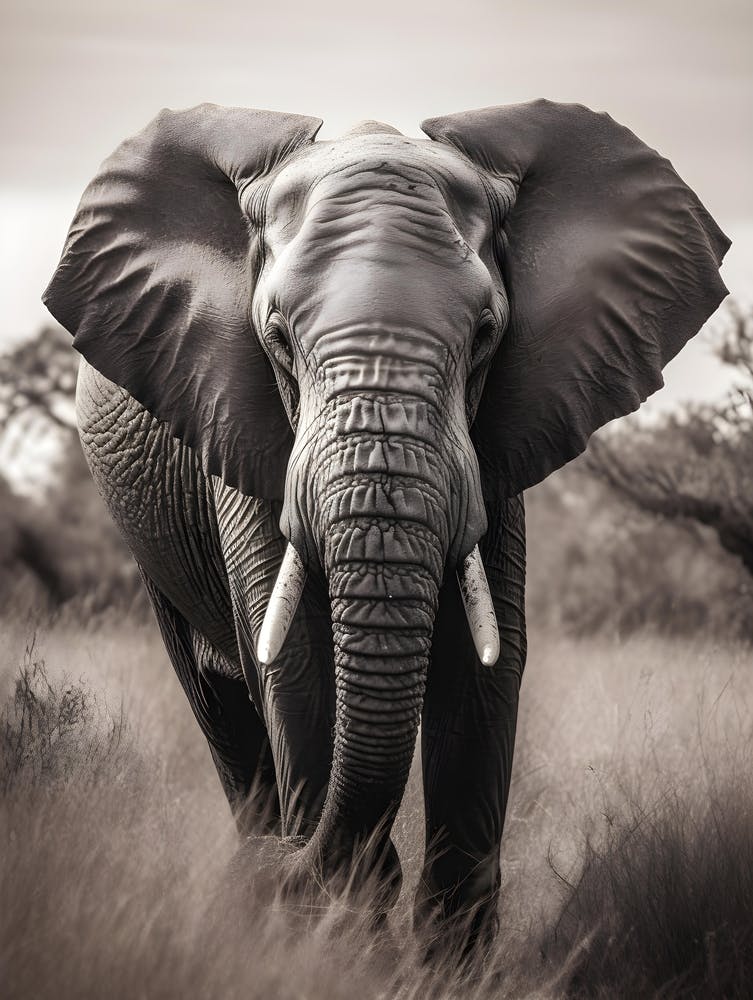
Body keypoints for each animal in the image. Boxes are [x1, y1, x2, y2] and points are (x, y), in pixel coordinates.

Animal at [43, 100, 728, 958]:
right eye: (276, 338)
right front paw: (336, 947)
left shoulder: (496, 444)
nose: (282, 865)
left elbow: (486, 666)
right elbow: (297, 658)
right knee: (218, 710)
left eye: (485, 334)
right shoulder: (235, 416)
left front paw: (448, 966)